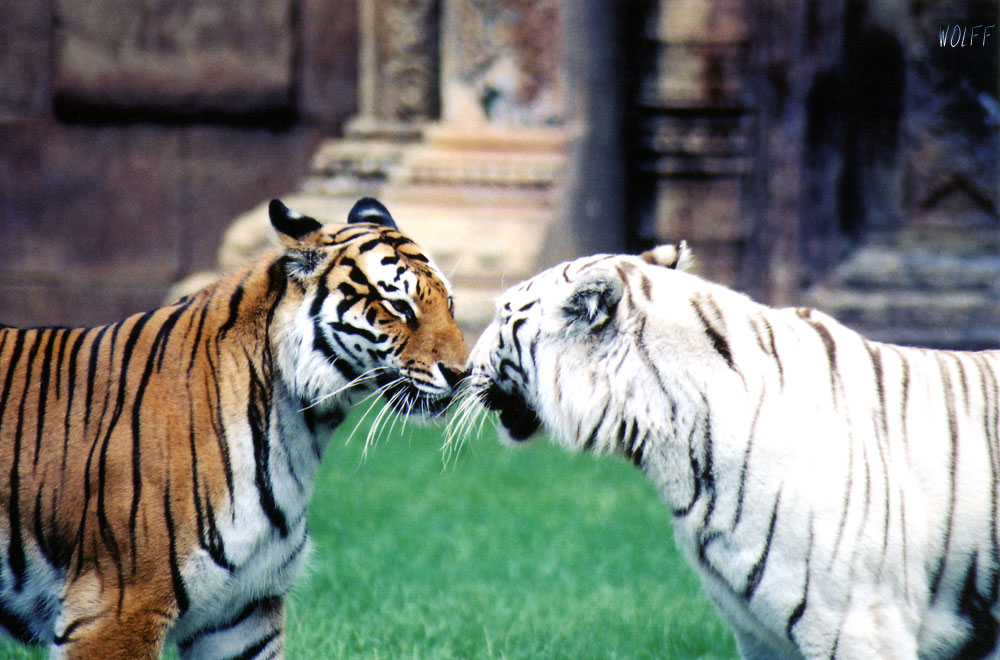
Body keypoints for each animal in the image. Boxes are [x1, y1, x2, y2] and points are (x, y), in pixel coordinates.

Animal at [0, 199, 464, 656]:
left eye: (450, 304)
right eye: (399, 307)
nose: (462, 374)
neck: (299, 432)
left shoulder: (243, 610)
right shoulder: (116, 607)